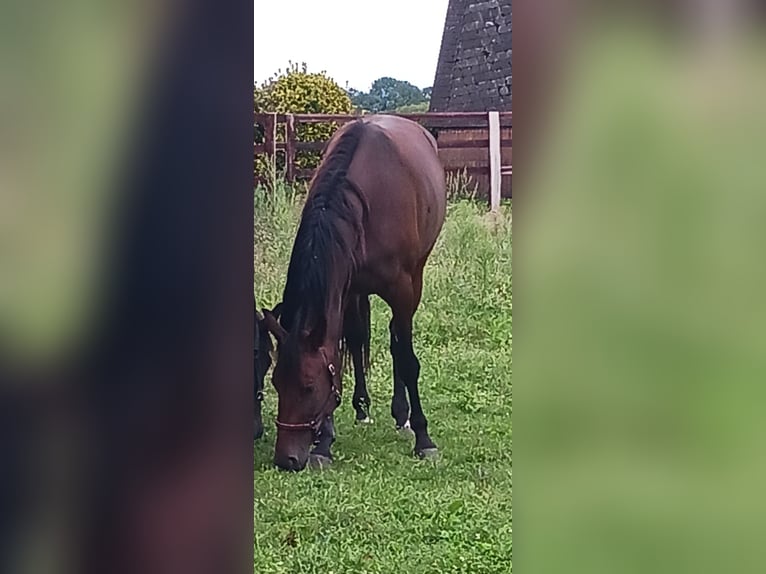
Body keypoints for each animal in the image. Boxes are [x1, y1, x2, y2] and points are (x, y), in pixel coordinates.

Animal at [260, 113, 448, 472]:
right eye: (275, 382)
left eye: (308, 387)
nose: (286, 460)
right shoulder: (344, 288)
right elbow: (338, 352)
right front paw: (324, 444)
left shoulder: (403, 290)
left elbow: (407, 358)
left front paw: (424, 438)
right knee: (360, 339)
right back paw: (362, 407)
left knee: (395, 340)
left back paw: (402, 415)